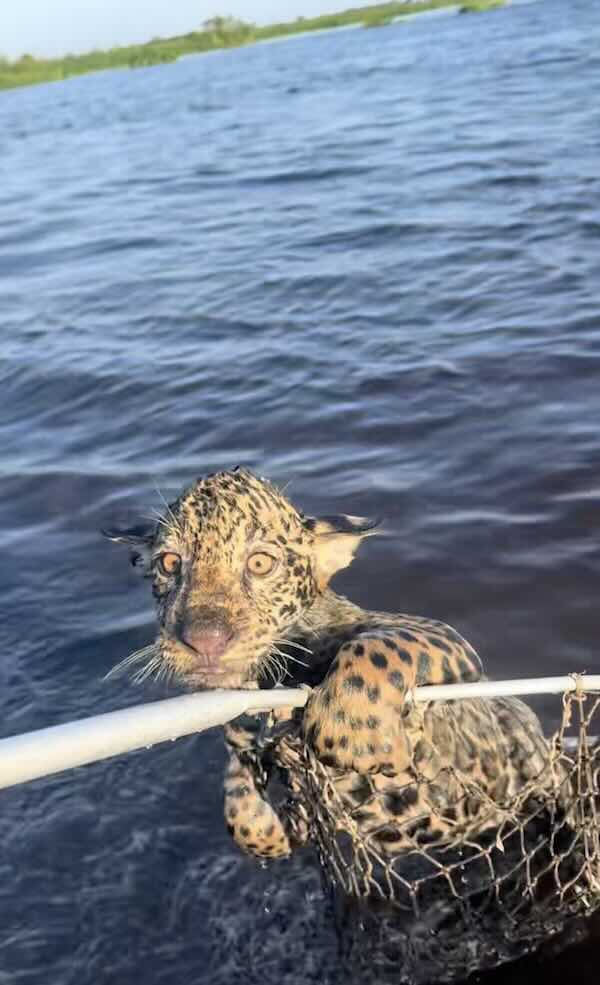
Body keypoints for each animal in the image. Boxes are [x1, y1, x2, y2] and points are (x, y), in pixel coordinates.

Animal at [104, 467, 554, 878]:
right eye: (169, 563)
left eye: (260, 563)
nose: (203, 639)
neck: (274, 680)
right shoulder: (245, 740)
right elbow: (241, 812)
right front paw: (281, 826)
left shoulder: (445, 639)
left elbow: (377, 645)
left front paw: (349, 728)